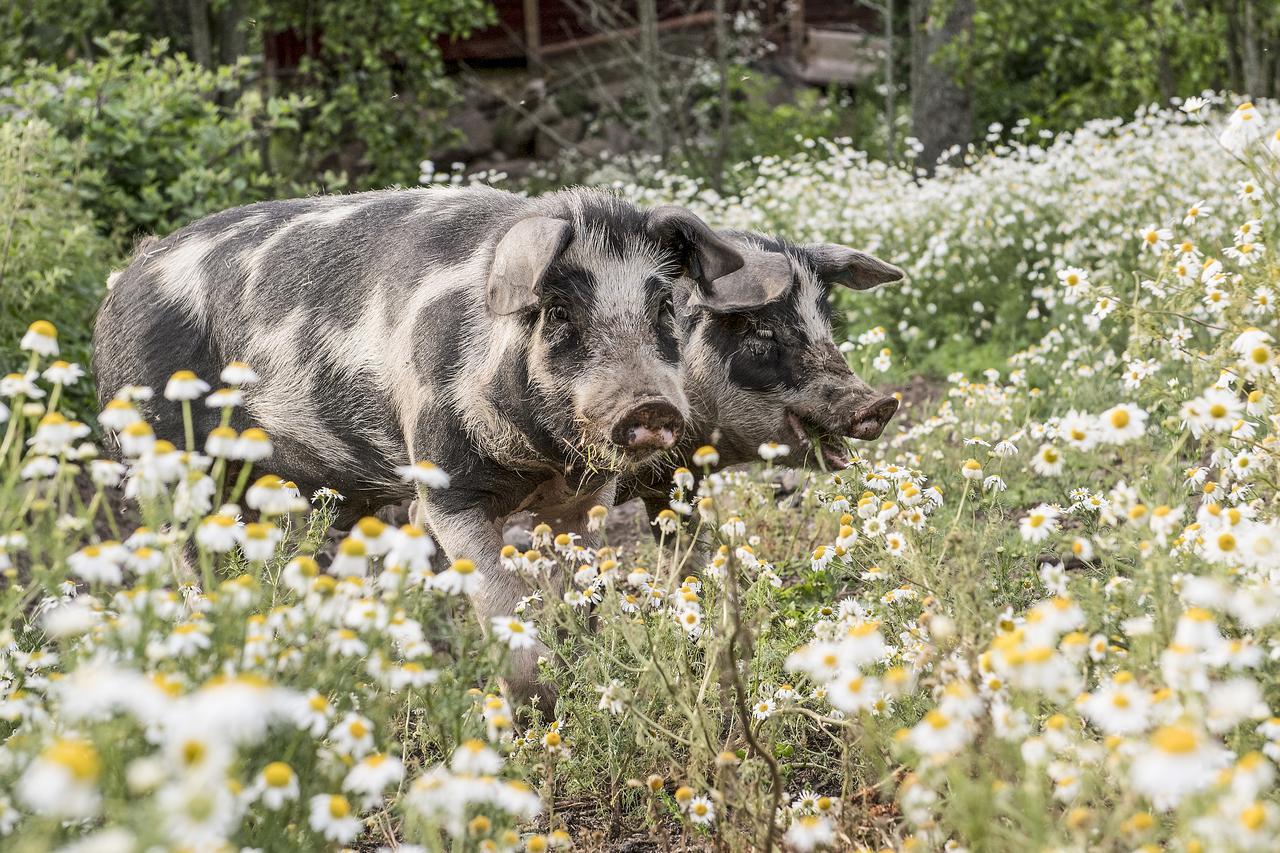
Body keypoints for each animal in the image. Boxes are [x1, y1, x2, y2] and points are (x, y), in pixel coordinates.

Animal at [94, 184, 768, 701]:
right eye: (558, 312)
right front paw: (535, 702)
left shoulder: (582, 499)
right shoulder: (446, 484)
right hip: (166, 463)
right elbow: (500, 598)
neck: (540, 466)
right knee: (189, 561)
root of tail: (126, 275)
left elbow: (579, 595)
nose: (650, 405)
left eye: (662, 308)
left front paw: (581, 671)